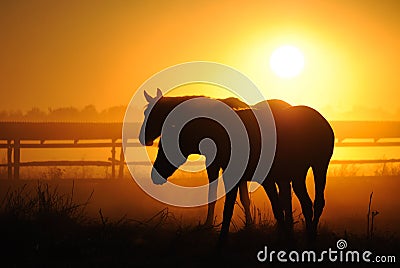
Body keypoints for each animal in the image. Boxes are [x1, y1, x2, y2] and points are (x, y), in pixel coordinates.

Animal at [148, 91, 334, 245]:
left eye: (165, 146)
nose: (154, 175)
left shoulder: (253, 177)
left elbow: (237, 208)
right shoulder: (246, 177)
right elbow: (240, 206)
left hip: (314, 167)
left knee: (312, 202)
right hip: (300, 174)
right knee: (309, 203)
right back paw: (309, 237)